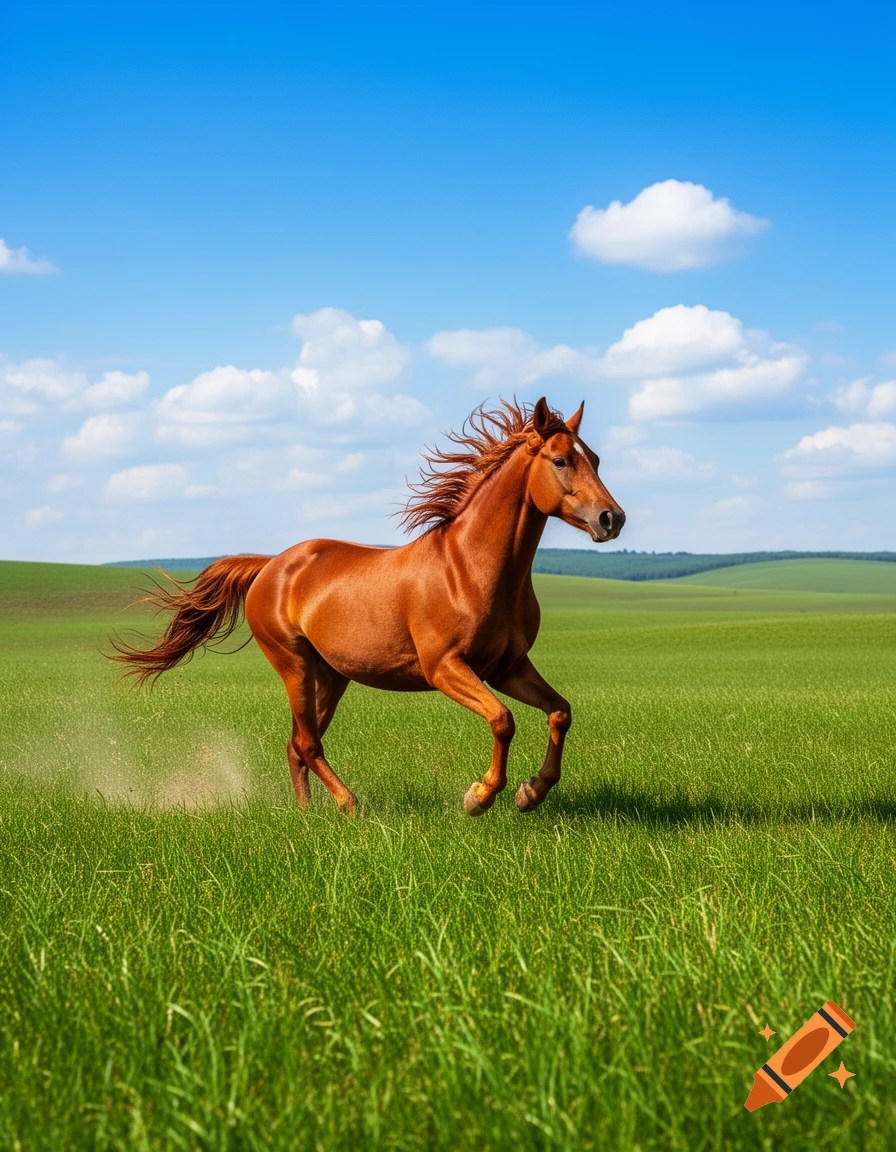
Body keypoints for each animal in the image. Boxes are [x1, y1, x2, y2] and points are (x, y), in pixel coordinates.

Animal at [111, 397, 625, 815]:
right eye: (560, 460)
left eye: (596, 459)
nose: (611, 518)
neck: (471, 569)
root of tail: (270, 566)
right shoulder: (445, 667)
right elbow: (502, 720)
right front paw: (479, 797)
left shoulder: (507, 666)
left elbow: (559, 712)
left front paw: (531, 792)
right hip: (294, 665)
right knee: (307, 742)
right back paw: (347, 804)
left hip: (331, 674)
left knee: (297, 744)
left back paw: (307, 814)